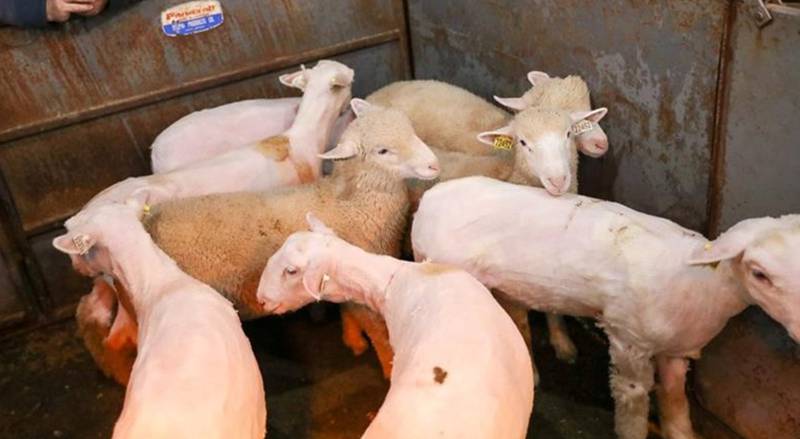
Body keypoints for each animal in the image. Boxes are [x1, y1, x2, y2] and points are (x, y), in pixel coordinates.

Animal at [141, 99, 440, 378]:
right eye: (383, 150)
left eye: (411, 129)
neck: (351, 203)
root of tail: (148, 219)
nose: (434, 164)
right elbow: (376, 328)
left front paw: (352, 339)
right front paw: (388, 365)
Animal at [411, 176, 800, 439]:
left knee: (515, 319)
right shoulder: (628, 340)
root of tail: (431, 197)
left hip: (505, 285)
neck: (699, 281)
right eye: (759, 273)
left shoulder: (677, 350)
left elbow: (675, 405)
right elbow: (633, 402)